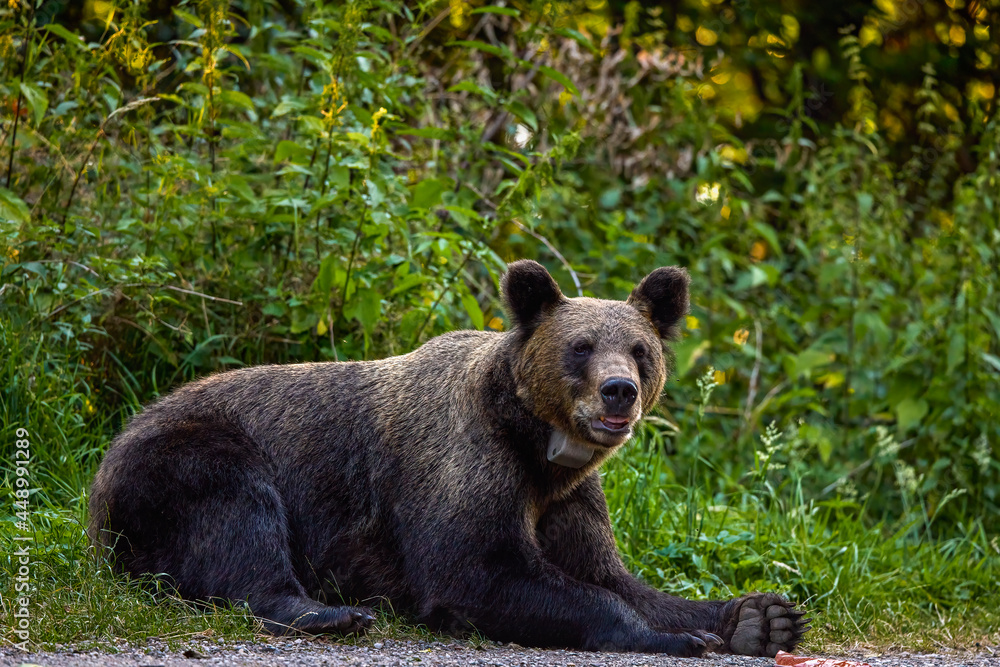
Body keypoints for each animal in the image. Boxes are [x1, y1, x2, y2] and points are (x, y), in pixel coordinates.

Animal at [90, 260, 808, 656]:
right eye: (580, 346)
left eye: (639, 349)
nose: (619, 391)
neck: (538, 448)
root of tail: (104, 462)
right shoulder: (464, 461)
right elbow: (473, 568)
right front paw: (669, 637)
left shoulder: (567, 497)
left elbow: (612, 574)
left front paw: (760, 618)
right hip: (189, 456)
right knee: (239, 523)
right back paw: (331, 611)